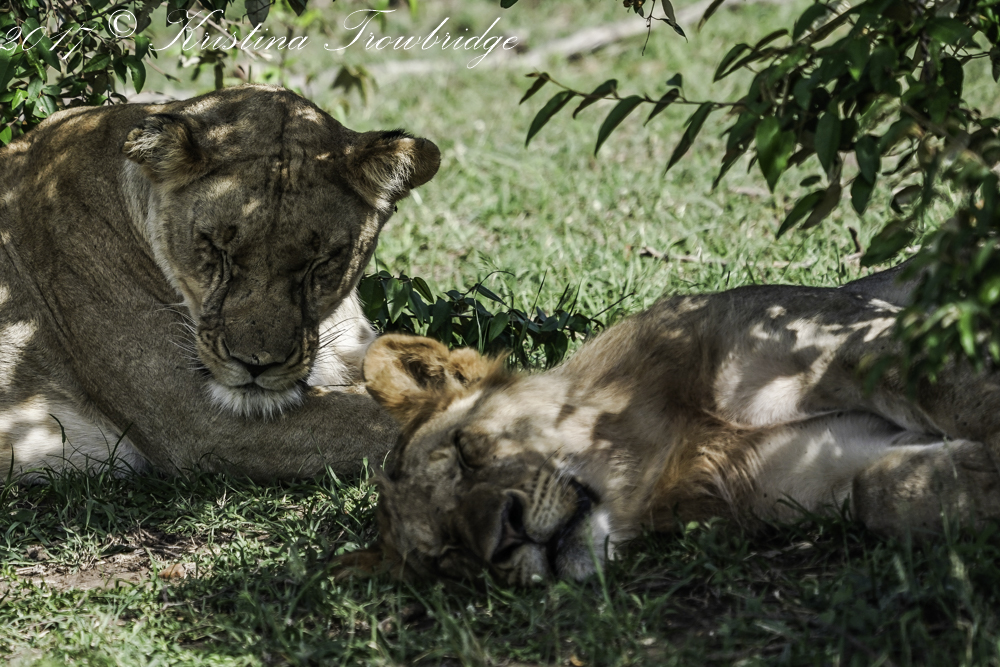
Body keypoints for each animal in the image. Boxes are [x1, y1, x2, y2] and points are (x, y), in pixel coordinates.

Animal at [344, 270, 1000, 585]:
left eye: (465, 450)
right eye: (447, 557)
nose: (503, 539)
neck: (673, 448)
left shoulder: (851, 335)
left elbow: (963, 391)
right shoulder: (815, 474)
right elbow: (879, 489)